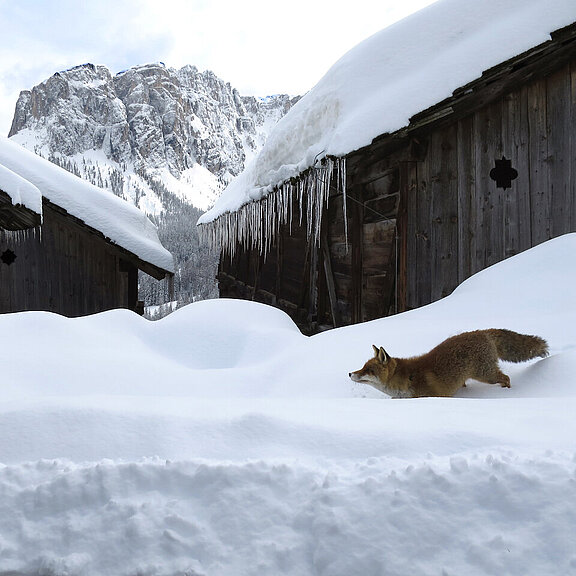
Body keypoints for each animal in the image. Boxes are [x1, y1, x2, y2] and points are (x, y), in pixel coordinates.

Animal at [346, 330, 548, 398]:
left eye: (368, 370)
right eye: (362, 367)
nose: (349, 373)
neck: (408, 379)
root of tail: (482, 331)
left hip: (486, 374)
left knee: (505, 377)